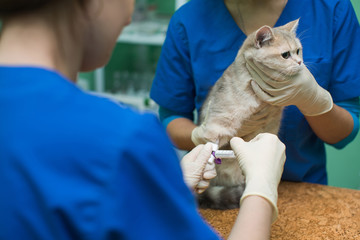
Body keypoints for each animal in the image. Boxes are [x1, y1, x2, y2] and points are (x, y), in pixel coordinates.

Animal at [195, 18, 302, 209]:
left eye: (298, 51)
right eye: (285, 55)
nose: (300, 62)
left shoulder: (268, 129)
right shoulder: (217, 123)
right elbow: (211, 145)